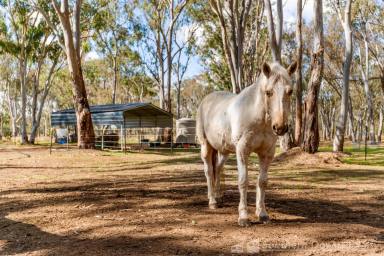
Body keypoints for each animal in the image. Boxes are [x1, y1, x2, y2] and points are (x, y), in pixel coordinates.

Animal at [196, 62, 296, 226]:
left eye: (290, 91)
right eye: (268, 92)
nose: (280, 127)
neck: (257, 118)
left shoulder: (267, 153)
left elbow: (262, 182)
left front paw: (262, 214)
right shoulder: (242, 150)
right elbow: (243, 181)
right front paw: (243, 216)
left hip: (223, 151)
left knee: (218, 169)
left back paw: (218, 196)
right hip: (206, 147)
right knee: (209, 171)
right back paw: (212, 201)